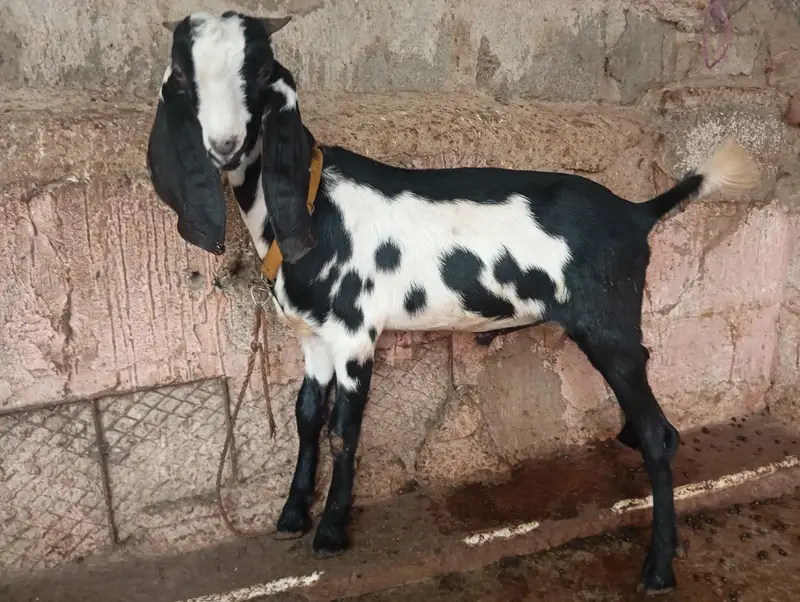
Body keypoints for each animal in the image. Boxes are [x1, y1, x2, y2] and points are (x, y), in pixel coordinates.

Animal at [146, 11, 760, 595]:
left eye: (256, 71)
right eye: (183, 76)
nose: (224, 146)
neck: (317, 205)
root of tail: (637, 213)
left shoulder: (355, 334)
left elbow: (345, 429)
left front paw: (331, 531)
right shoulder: (313, 338)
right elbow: (306, 417)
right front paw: (293, 514)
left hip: (606, 322)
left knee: (661, 435)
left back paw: (658, 567)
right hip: (617, 324)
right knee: (651, 393)